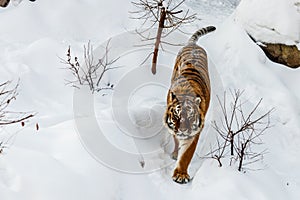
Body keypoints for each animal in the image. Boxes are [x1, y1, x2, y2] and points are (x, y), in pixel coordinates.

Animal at [164, 25, 216, 184]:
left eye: (190, 116)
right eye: (176, 115)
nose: (182, 130)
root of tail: (193, 45)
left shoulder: (194, 132)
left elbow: (186, 155)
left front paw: (181, 174)